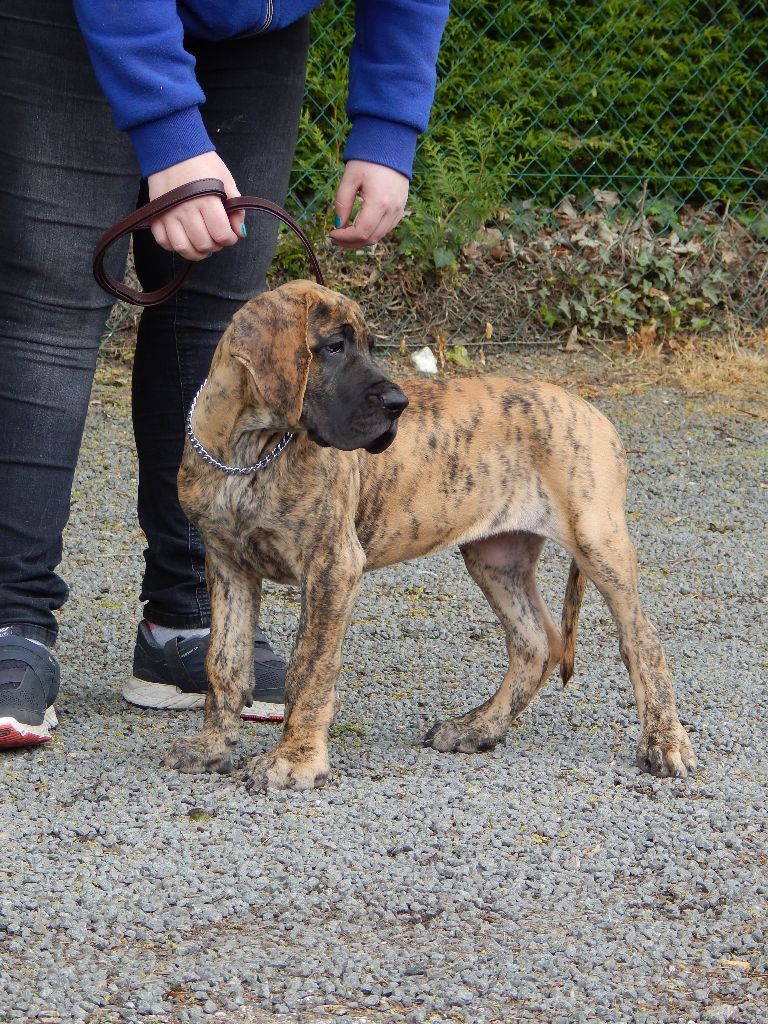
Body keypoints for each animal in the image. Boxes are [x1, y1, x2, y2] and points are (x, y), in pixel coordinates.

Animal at [163, 279, 696, 792]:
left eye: (369, 346)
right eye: (334, 347)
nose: (398, 404)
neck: (251, 450)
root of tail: (594, 413)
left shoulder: (332, 567)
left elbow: (310, 667)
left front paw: (295, 762)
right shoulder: (228, 566)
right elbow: (225, 662)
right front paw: (213, 747)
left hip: (597, 541)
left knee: (641, 640)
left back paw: (665, 743)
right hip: (495, 557)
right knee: (536, 642)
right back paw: (477, 728)